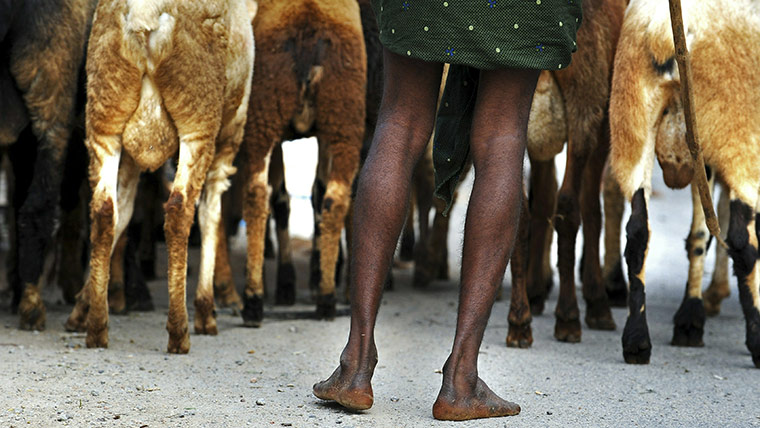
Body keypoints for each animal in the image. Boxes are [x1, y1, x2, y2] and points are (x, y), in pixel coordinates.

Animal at [63, 0, 254, 352]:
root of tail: (145, 13)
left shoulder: (129, 159)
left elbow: (123, 215)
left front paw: (82, 306)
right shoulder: (229, 138)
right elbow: (212, 217)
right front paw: (206, 312)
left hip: (105, 109)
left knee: (103, 211)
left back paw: (96, 328)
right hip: (198, 114)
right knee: (180, 209)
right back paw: (180, 331)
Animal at [240, 0, 366, 324]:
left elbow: (284, 199)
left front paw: (288, 283)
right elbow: (308, 194)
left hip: (265, 116)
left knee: (259, 197)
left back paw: (257, 300)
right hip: (342, 119)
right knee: (334, 201)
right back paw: (323, 298)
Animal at [608, 0, 760, 366]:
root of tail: (664, 29)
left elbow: (700, 230)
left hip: (632, 117)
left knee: (638, 231)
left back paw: (638, 341)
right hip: (737, 129)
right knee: (742, 241)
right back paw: (757, 341)